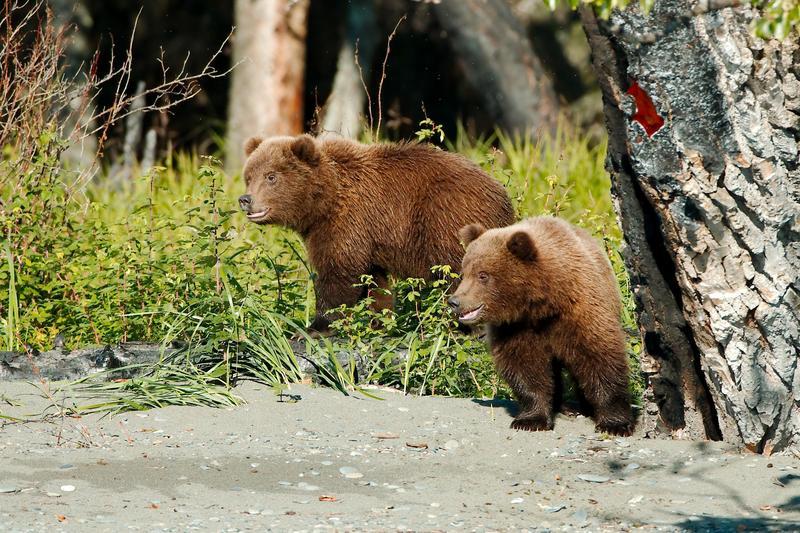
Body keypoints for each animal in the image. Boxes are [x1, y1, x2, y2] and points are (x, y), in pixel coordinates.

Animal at [239, 134, 512, 332]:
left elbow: (338, 272)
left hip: (448, 220)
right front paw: (380, 322)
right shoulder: (369, 238)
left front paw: (315, 327)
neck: (324, 200)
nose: (245, 200)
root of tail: (502, 197)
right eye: (249, 176)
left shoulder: (348, 221)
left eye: (271, 176)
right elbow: (374, 283)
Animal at [446, 216, 636, 436]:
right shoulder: (515, 328)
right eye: (464, 273)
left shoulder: (580, 311)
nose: (454, 301)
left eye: (483, 275)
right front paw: (530, 420)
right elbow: (525, 368)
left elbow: (600, 357)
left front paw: (615, 423)